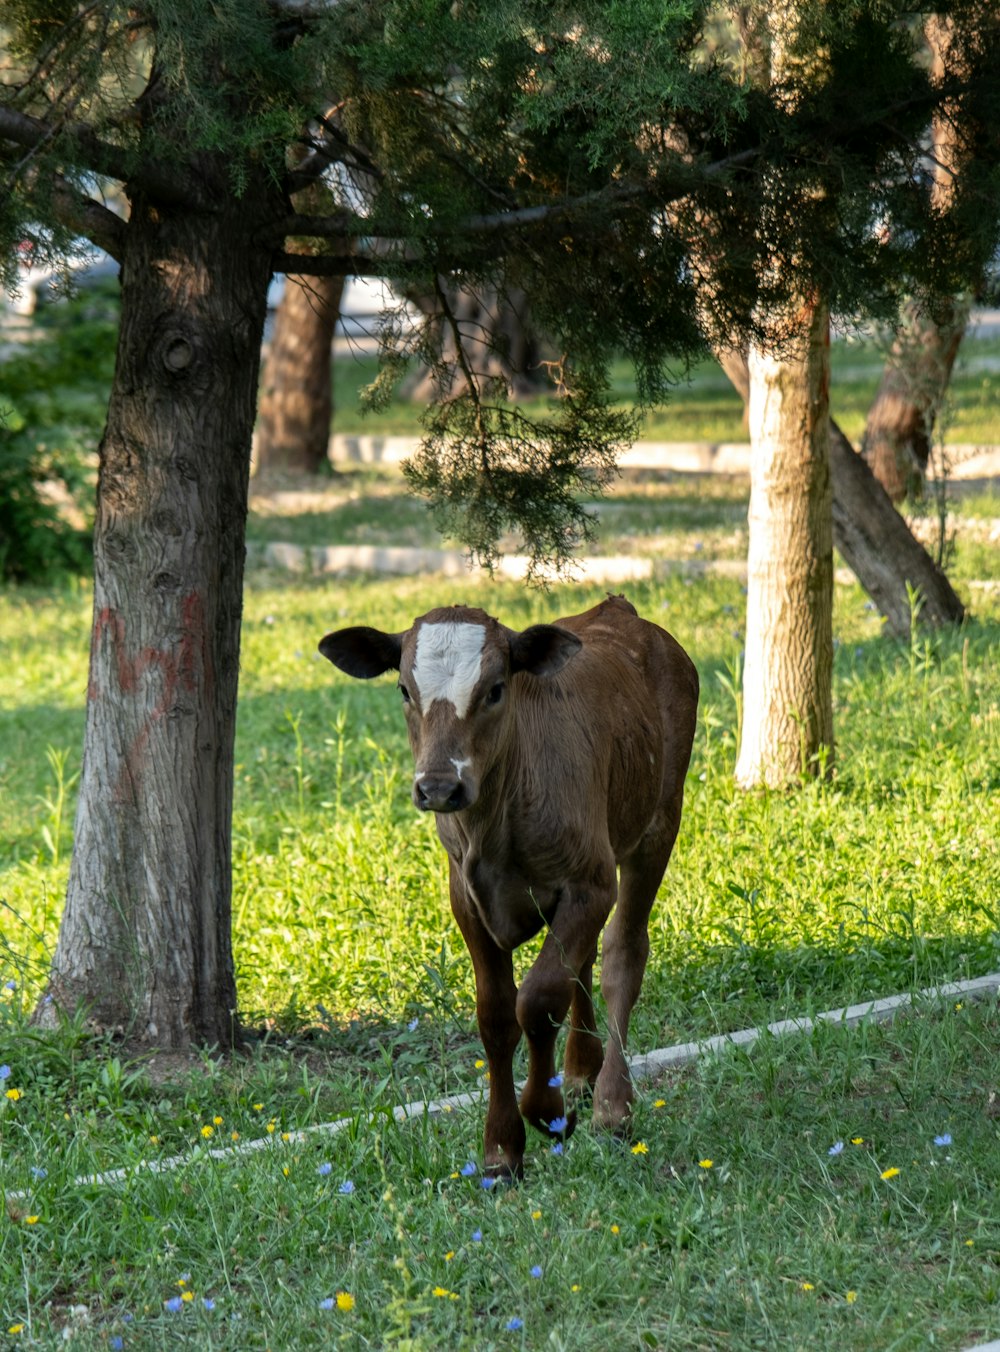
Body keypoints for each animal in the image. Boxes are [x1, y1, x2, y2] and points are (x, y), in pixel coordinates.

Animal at [320, 597, 697, 1178]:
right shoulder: (466, 899)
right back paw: (581, 1072)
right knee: (584, 964)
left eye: (496, 688)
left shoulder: (590, 884)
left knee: (621, 955)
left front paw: (546, 1111)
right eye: (404, 689)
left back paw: (612, 1105)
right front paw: (501, 1150)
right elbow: (497, 1016)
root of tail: (620, 610)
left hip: (659, 820)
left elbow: (538, 1000)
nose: (438, 786)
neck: (496, 824)